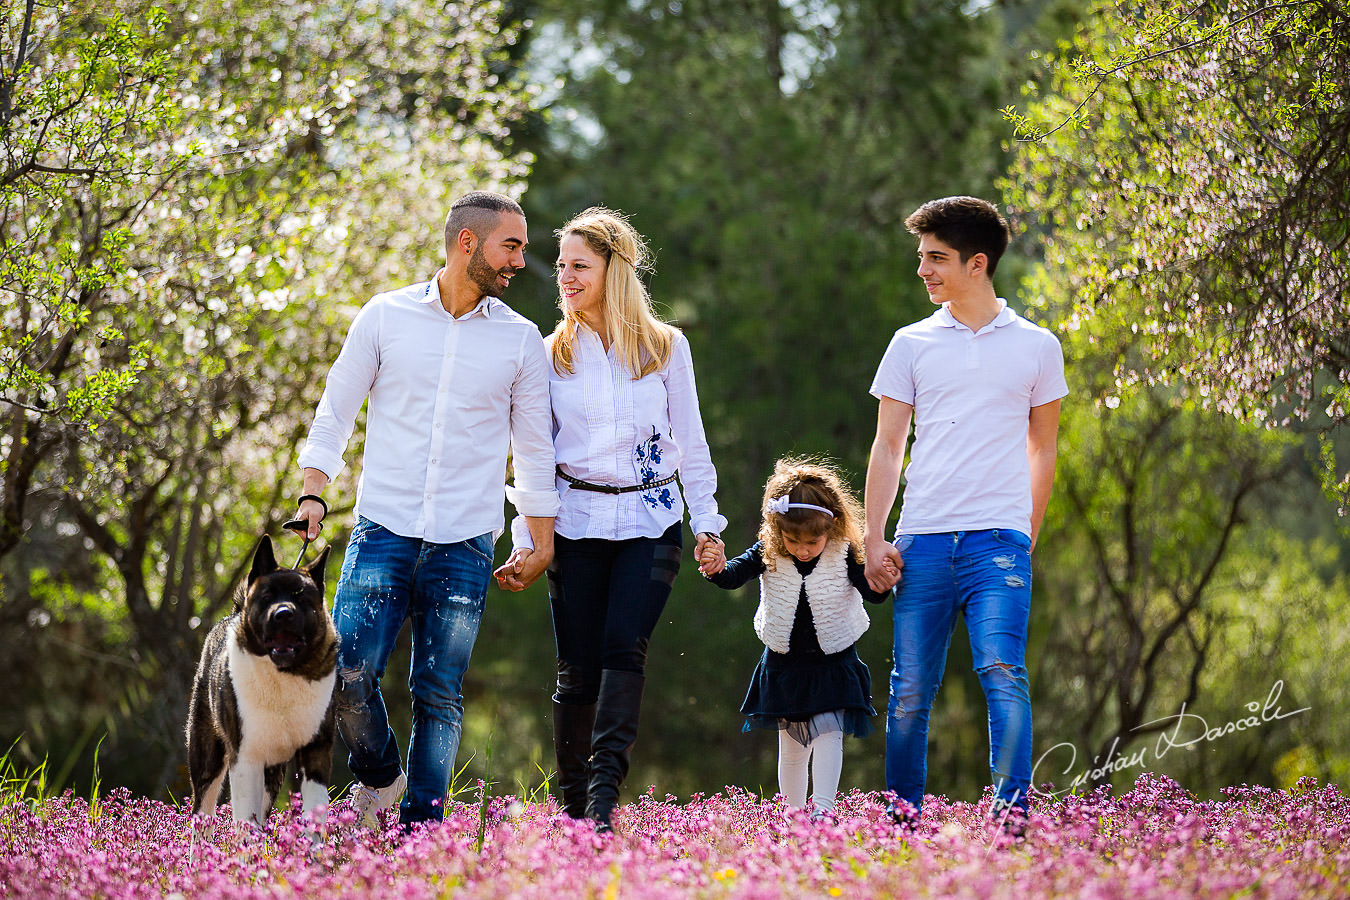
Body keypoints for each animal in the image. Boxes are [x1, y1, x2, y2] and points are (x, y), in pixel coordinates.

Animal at [184, 534, 337, 831]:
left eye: (301, 598)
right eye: (267, 597)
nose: (283, 613)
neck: (284, 675)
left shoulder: (316, 752)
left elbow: (314, 812)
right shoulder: (245, 758)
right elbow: (246, 820)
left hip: (272, 773)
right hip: (207, 758)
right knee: (202, 812)